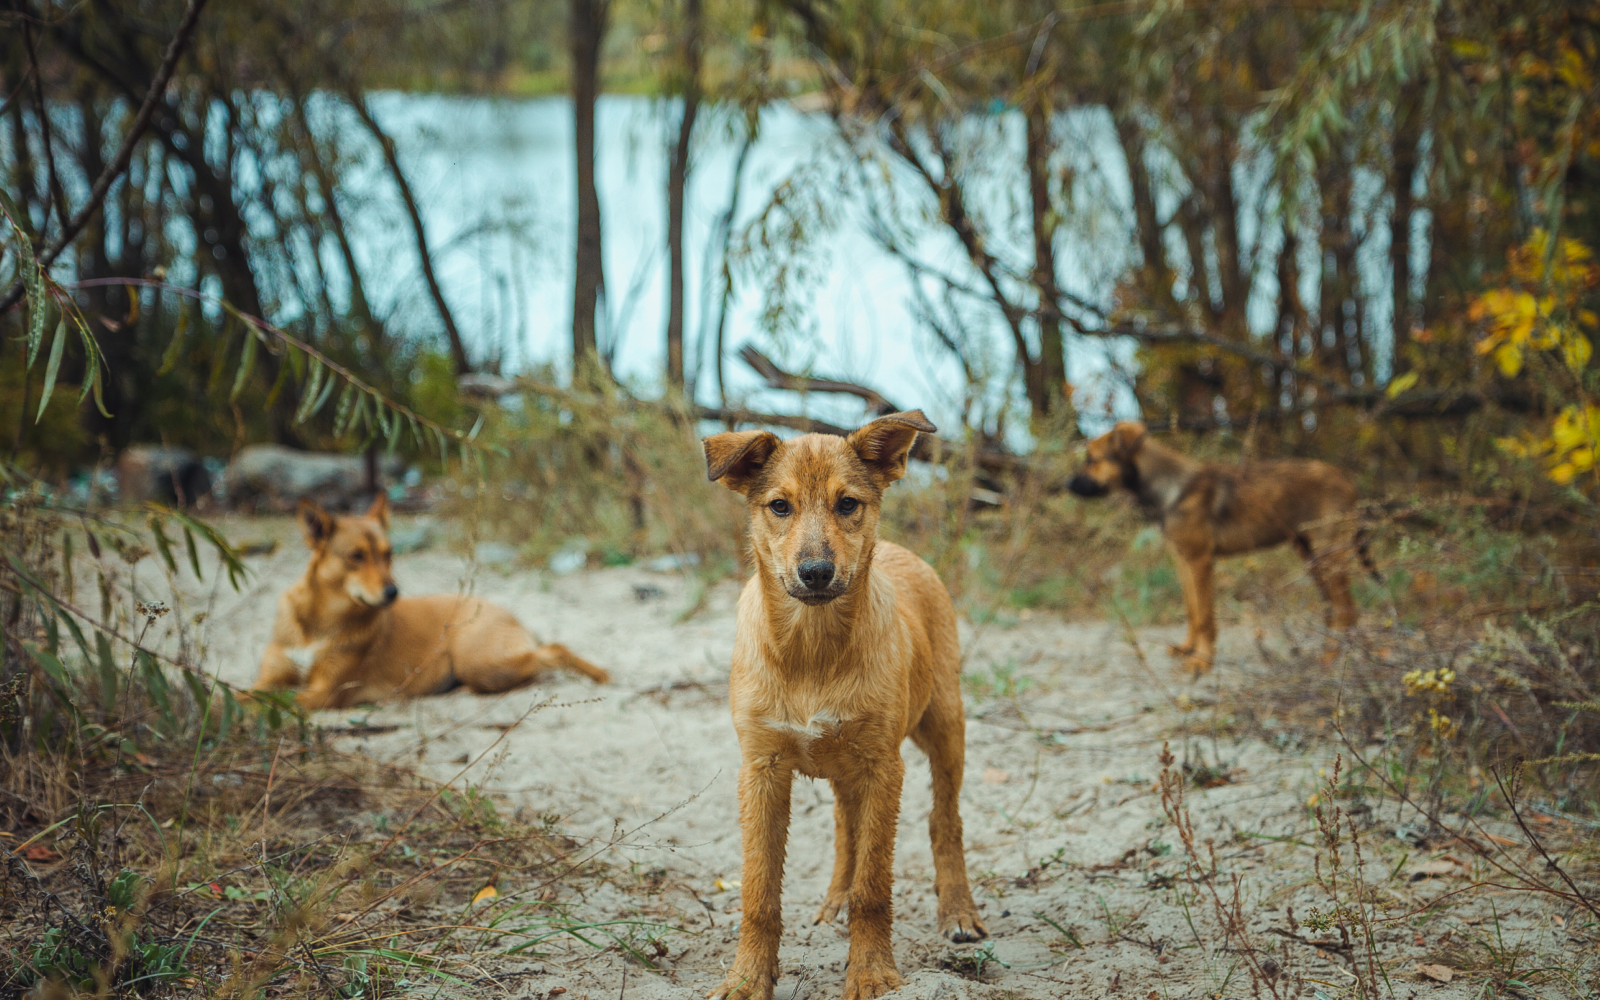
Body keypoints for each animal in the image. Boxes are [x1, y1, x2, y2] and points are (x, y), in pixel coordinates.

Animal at [252, 496, 608, 707]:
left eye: (389, 554)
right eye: (356, 556)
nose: (393, 593)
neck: (320, 623)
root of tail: (511, 615)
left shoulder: (322, 692)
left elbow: (257, 703)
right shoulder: (269, 680)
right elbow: (248, 694)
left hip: (479, 661)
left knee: (553, 654)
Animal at [704, 408, 979, 998]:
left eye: (848, 504)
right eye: (779, 506)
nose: (816, 573)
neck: (813, 650)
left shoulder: (882, 765)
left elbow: (875, 887)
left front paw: (872, 971)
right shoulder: (761, 769)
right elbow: (759, 891)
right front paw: (747, 978)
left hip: (944, 725)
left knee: (944, 822)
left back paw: (958, 912)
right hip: (845, 764)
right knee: (844, 827)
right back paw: (835, 901)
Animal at [1062, 416, 1376, 675]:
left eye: (1091, 459)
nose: (1067, 485)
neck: (1172, 488)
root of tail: (1348, 479)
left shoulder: (1200, 560)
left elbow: (1204, 616)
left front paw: (1202, 661)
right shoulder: (1183, 560)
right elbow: (1191, 611)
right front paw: (1188, 649)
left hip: (1329, 555)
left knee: (1347, 610)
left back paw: (1332, 658)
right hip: (1310, 554)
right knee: (1334, 608)